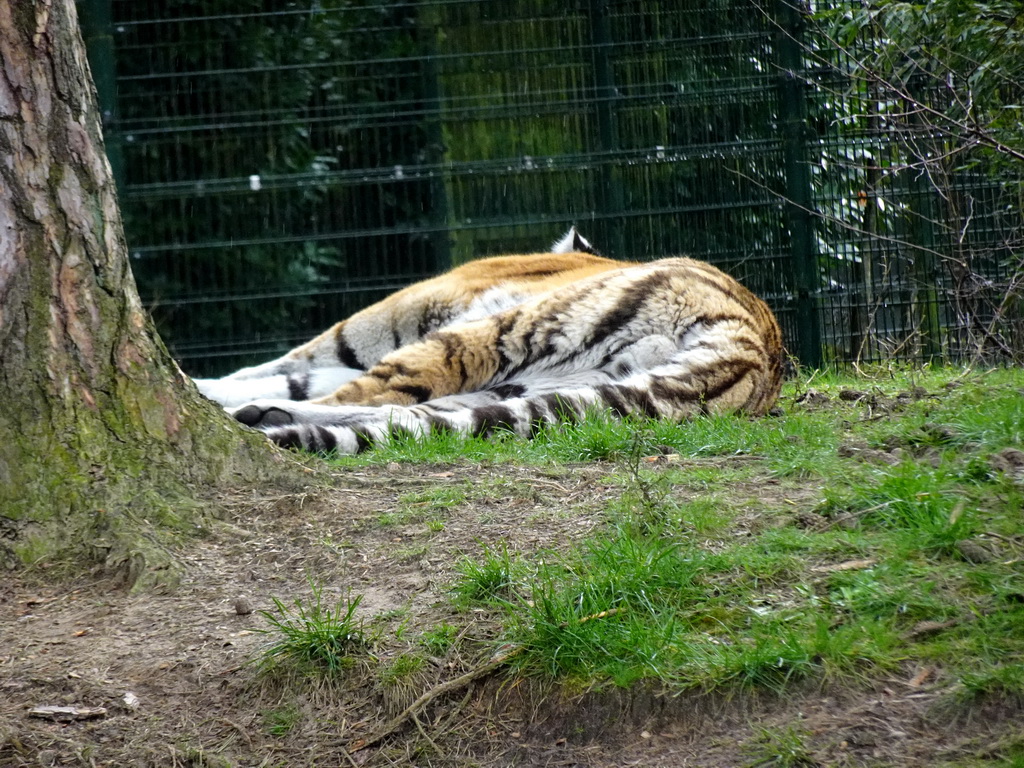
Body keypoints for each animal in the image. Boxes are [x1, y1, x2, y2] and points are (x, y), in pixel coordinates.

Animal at [193, 231, 782, 454]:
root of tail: (753, 346)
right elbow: (288, 374)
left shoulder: (386, 320)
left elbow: (288, 364)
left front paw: (202, 385)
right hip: (549, 384)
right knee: (404, 413)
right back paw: (260, 416)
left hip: (503, 336)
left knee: (380, 395)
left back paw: (251, 417)